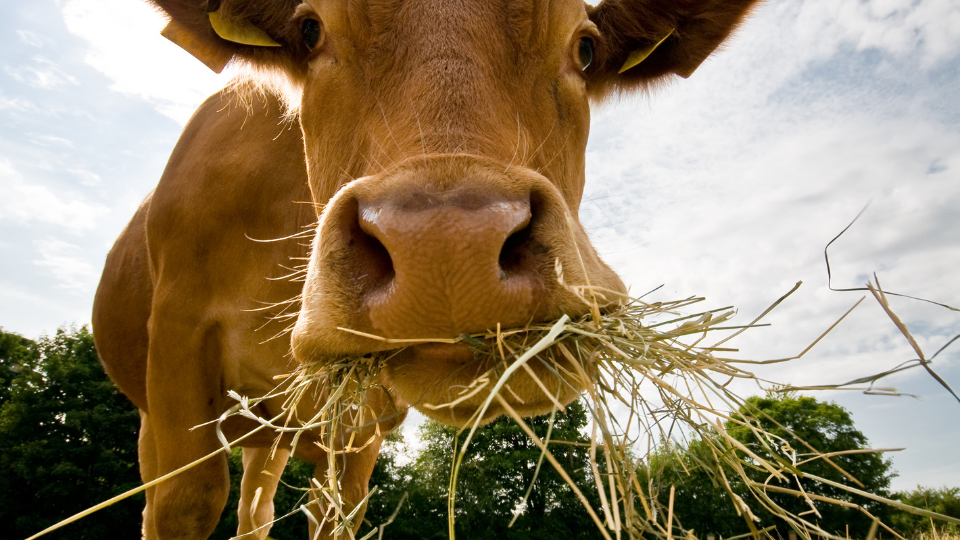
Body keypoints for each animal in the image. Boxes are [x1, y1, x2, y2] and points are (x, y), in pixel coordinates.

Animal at [92, 0, 760, 538]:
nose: (444, 250)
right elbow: (184, 502)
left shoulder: (361, 423)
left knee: (258, 511)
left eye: (587, 47)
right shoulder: (176, 342)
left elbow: (336, 512)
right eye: (310, 30)